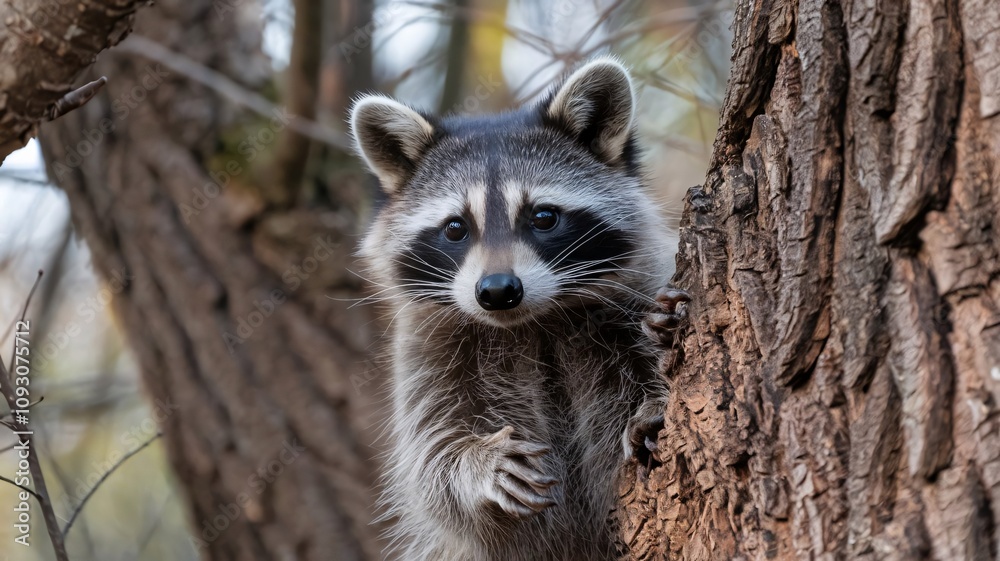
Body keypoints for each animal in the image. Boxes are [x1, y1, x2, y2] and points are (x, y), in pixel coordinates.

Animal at [351, 58, 685, 561]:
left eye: (543, 217)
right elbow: (430, 460)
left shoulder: (640, 285)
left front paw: (658, 367)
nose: (497, 290)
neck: (534, 323)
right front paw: (475, 464)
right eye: (455, 228)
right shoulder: (427, 352)